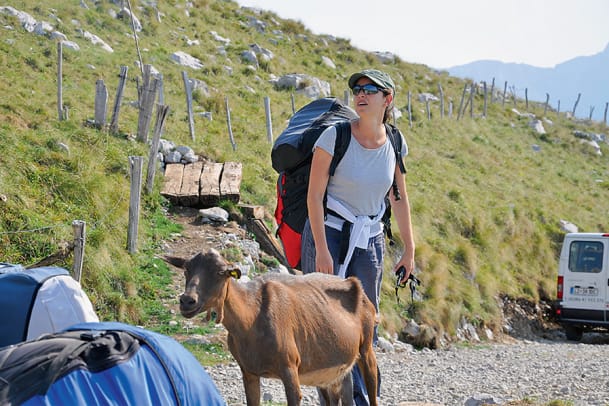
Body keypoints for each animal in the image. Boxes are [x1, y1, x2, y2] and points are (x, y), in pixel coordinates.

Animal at [164, 247, 378, 406]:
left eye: (220, 272)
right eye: (186, 269)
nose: (187, 301)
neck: (251, 320)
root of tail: (353, 282)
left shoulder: (289, 367)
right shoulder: (248, 371)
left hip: (366, 348)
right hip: (335, 371)